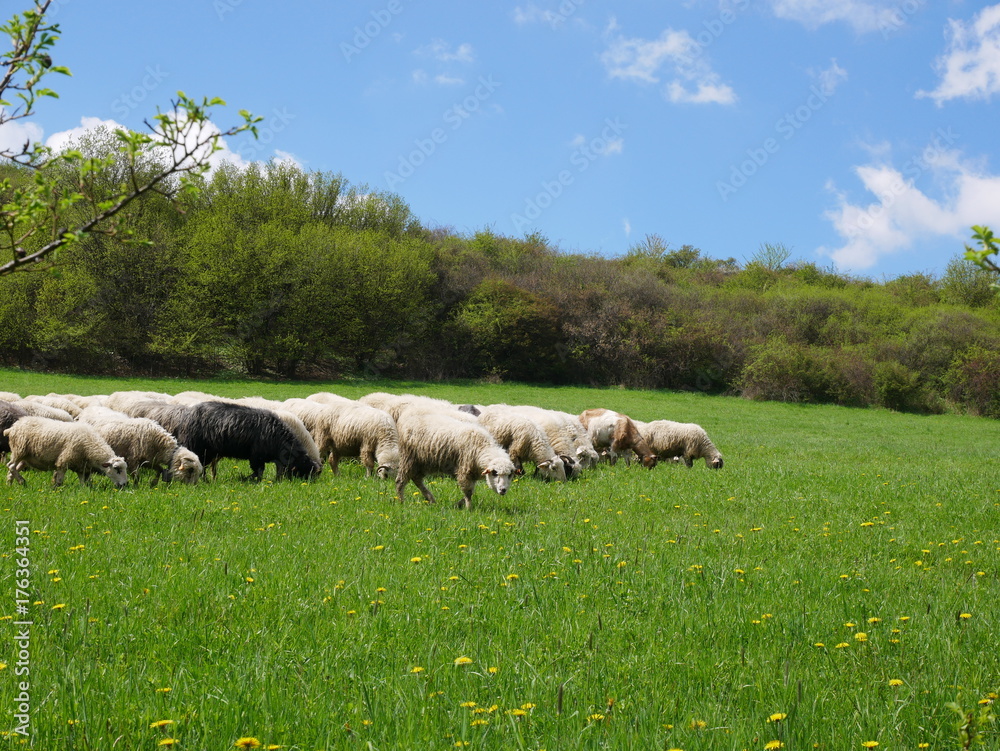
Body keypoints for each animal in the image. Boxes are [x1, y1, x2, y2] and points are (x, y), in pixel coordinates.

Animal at [175, 401, 321, 482]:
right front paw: (252, 480)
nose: (307, 484)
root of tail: (189, 412)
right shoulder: (256, 456)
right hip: (197, 447)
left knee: (204, 465)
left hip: (209, 452)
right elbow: (259, 471)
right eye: (307, 471)